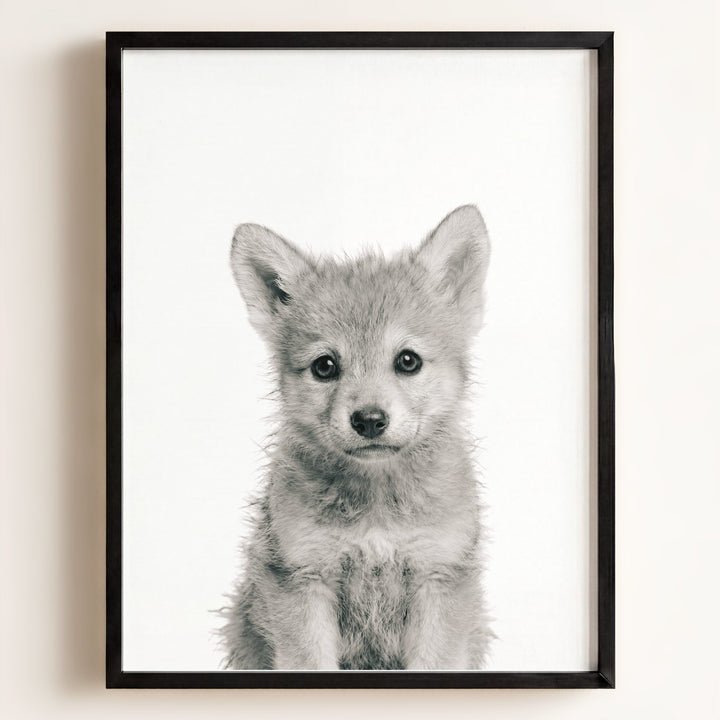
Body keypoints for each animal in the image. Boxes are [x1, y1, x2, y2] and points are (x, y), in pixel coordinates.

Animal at [221, 205, 493, 670]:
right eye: (325, 366)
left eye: (407, 360)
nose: (368, 420)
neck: (377, 508)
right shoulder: (303, 578)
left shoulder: (438, 576)